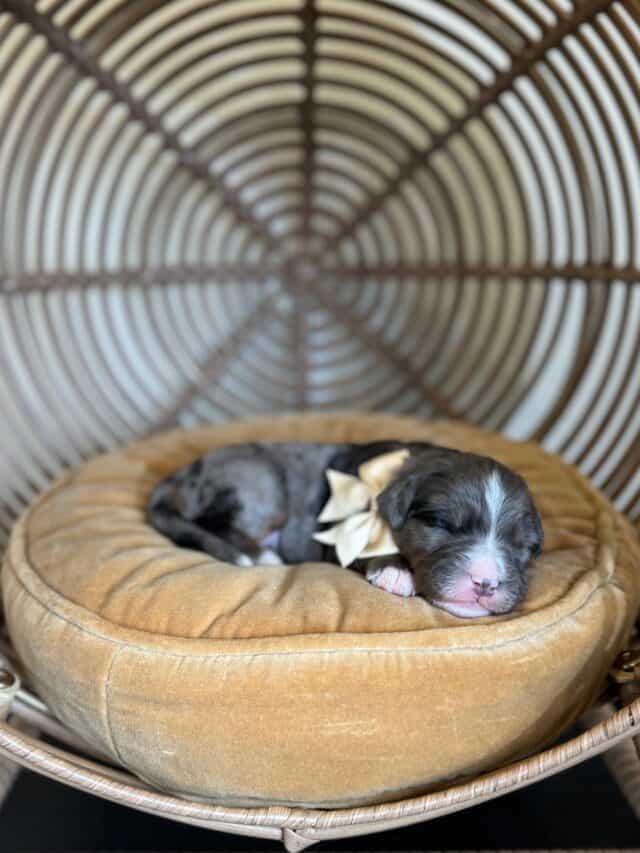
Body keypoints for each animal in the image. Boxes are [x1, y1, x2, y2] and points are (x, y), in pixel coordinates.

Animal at [148, 440, 544, 620]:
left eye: (523, 547)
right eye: (443, 525)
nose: (486, 582)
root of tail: (176, 477)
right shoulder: (343, 535)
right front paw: (394, 571)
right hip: (261, 484)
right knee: (215, 524)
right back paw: (260, 555)